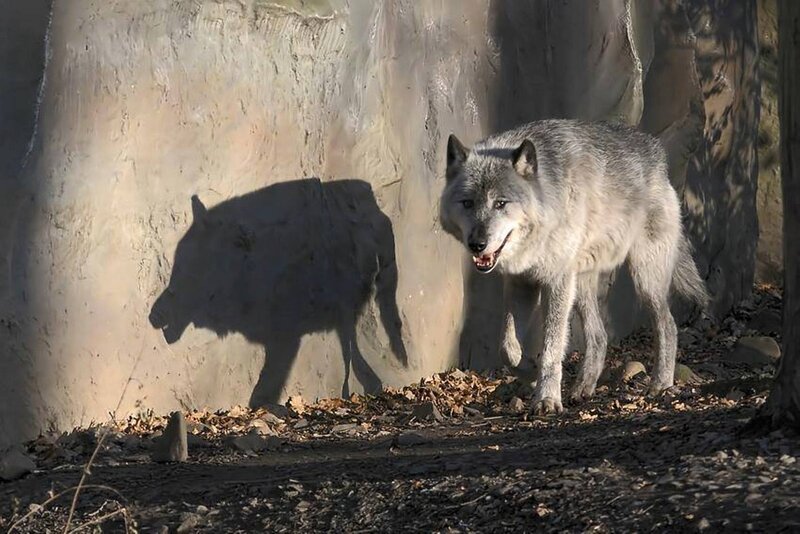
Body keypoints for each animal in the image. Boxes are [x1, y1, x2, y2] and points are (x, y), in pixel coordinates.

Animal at [439, 119, 709, 414]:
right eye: (468, 203)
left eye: (500, 203)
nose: (477, 244)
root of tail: (658, 155)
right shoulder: (521, 282)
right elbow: (507, 348)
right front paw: (530, 373)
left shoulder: (556, 281)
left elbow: (551, 348)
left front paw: (546, 399)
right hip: (580, 285)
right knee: (600, 335)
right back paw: (582, 389)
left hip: (643, 280)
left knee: (668, 326)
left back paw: (660, 384)